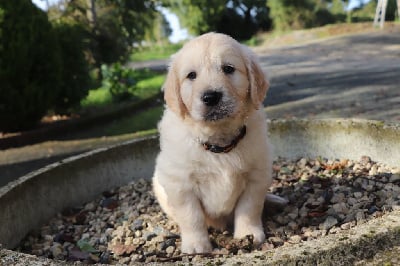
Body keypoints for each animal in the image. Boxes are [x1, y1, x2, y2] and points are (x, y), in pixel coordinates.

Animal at [153, 32, 272, 252]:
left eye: (228, 69)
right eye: (191, 75)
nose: (211, 97)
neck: (218, 141)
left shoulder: (257, 175)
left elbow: (249, 207)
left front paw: (248, 233)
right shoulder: (180, 183)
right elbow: (192, 216)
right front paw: (196, 245)